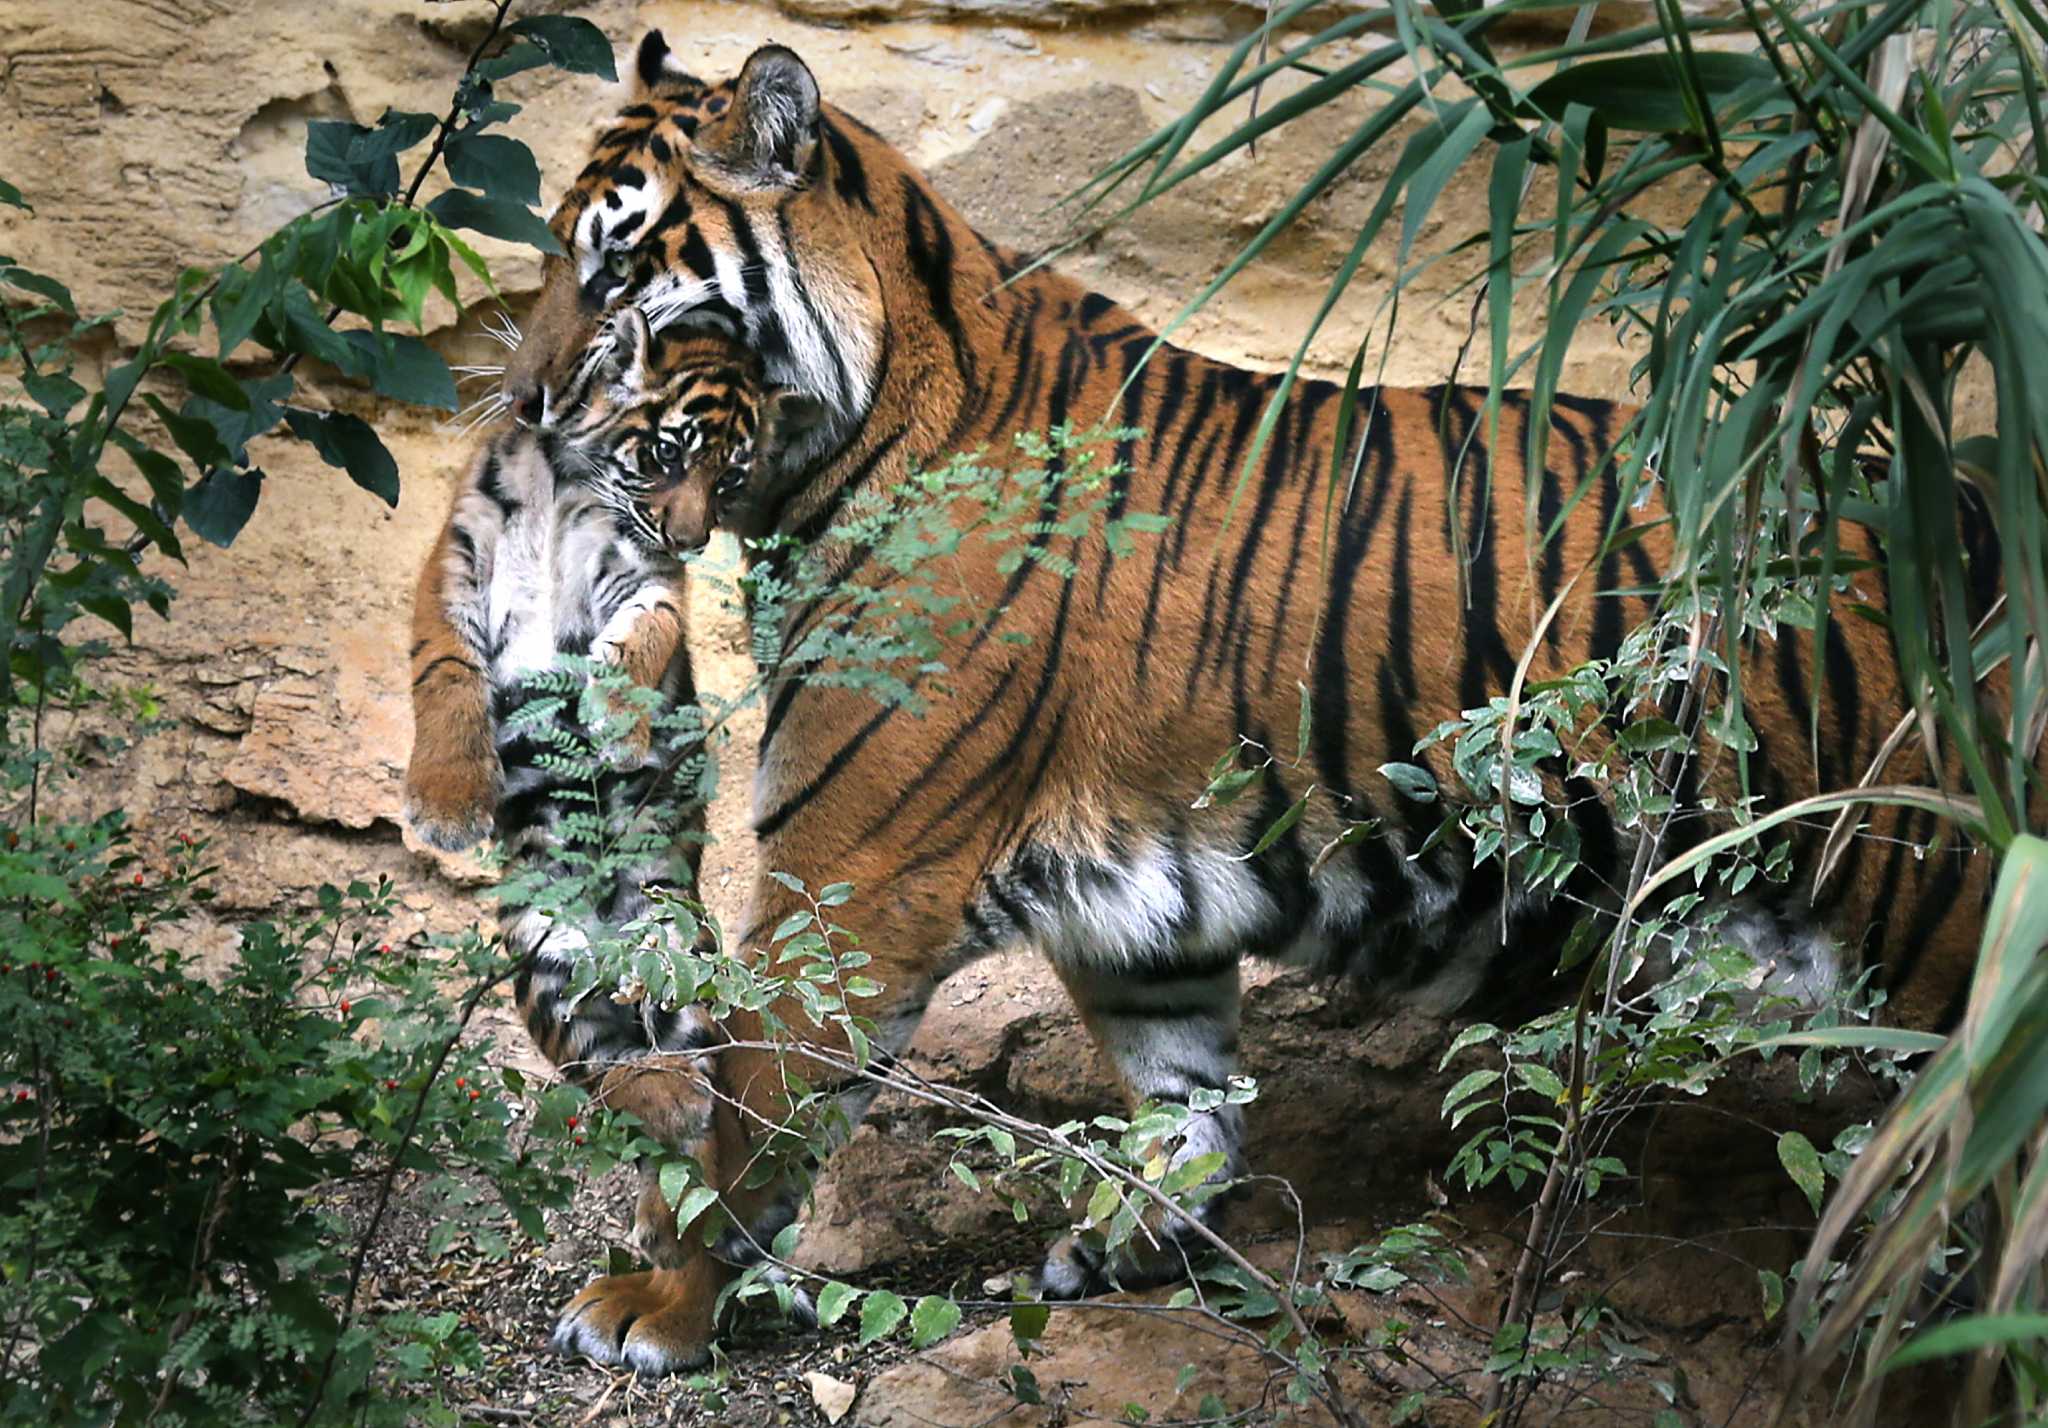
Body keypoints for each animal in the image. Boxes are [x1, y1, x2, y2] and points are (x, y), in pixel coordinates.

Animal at [491, 33, 1998, 1368]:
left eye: (617, 272)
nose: (520, 403)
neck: (845, 441)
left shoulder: (848, 878)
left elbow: (748, 1110)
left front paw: (651, 1305)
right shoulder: (1139, 909)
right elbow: (1183, 1097)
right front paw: (1134, 1245)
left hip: (1938, 929)